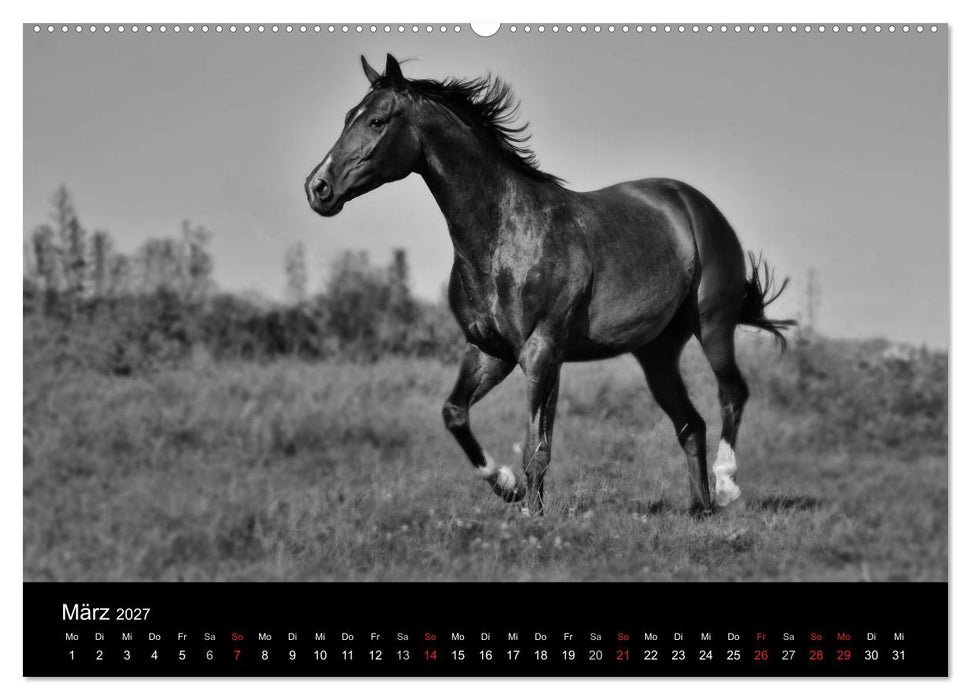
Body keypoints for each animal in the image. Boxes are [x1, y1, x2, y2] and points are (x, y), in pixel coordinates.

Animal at [305, 54, 793, 516]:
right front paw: (508, 487)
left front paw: (533, 517)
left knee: (731, 393)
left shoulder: (541, 352)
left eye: (376, 120)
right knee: (691, 424)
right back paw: (701, 508)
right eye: (348, 115)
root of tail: (695, 204)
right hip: (656, 353)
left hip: (713, 324)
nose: (318, 188)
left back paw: (726, 486)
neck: (504, 235)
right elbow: (455, 413)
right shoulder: (490, 352)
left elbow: (537, 448)